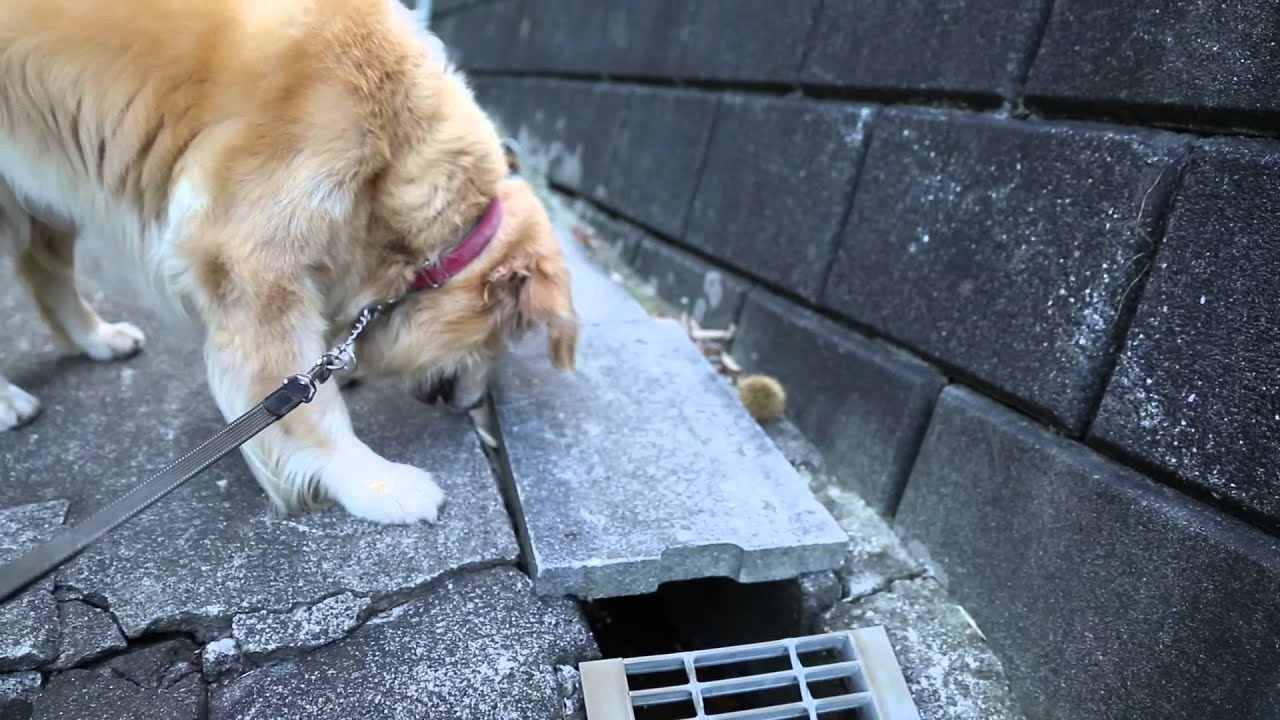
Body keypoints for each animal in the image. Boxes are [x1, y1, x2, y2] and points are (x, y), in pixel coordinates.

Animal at [0, 0, 578, 517]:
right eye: (500, 340)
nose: (470, 407)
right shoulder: (252, 265)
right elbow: (308, 407)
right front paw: (374, 483)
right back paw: (9, 401)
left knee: (46, 273)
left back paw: (98, 339)